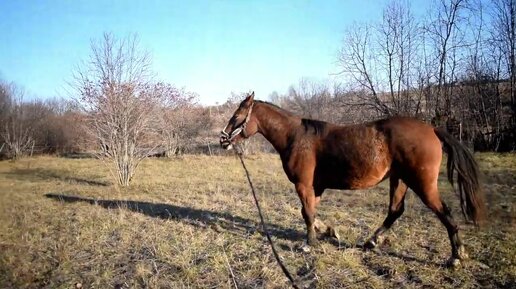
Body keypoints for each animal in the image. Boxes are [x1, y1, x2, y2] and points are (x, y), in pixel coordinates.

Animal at [220, 91, 486, 266]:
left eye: (237, 116)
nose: (223, 139)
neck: (297, 137)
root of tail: (431, 129)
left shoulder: (304, 185)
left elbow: (307, 214)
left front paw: (309, 243)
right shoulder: (315, 187)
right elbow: (311, 212)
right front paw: (328, 231)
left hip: (422, 184)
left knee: (444, 212)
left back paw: (456, 256)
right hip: (399, 180)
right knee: (395, 211)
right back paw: (371, 242)